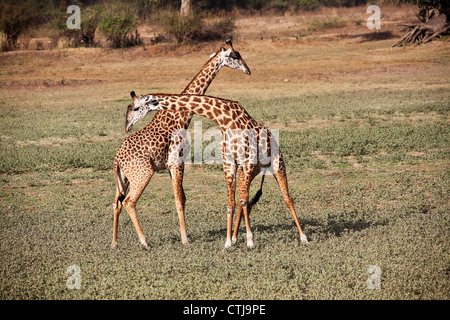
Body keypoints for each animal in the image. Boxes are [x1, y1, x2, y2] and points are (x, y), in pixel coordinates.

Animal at [112, 40, 251, 250]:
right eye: (234, 56)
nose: (247, 70)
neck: (183, 116)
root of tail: (116, 159)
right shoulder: (176, 162)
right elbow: (178, 200)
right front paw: (185, 239)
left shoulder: (174, 165)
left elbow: (183, 199)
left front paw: (185, 236)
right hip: (143, 173)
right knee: (129, 202)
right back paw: (144, 242)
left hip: (125, 178)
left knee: (116, 203)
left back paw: (114, 243)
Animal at [126, 92, 310, 248]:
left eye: (135, 108)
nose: (127, 125)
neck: (224, 119)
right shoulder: (230, 164)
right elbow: (231, 203)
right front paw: (228, 242)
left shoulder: (247, 161)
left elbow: (242, 201)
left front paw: (250, 241)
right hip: (249, 171)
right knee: (244, 201)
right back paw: (235, 237)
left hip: (276, 163)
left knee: (287, 198)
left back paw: (303, 237)